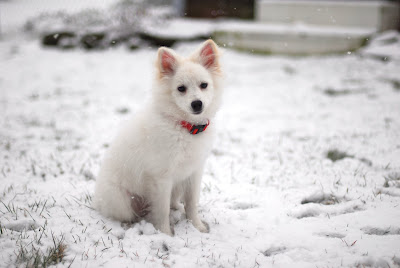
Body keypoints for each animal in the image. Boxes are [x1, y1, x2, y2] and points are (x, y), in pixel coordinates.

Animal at [95, 39, 223, 234]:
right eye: (181, 89)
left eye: (204, 85)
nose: (197, 104)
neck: (184, 127)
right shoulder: (161, 178)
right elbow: (162, 210)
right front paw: (165, 233)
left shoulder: (194, 173)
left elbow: (192, 204)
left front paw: (197, 226)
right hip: (122, 201)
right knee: (128, 215)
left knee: (173, 203)